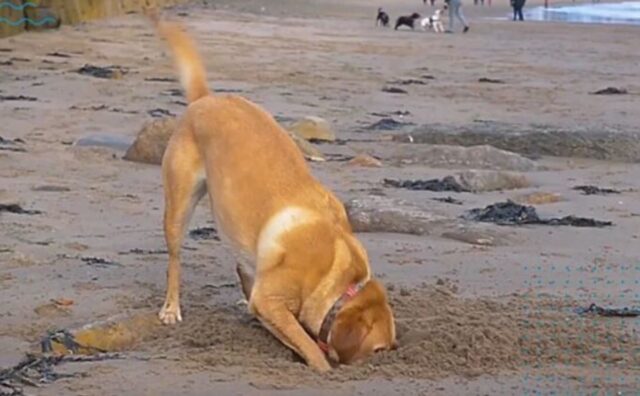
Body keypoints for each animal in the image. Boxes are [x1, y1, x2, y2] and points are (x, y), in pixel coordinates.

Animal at [151, 17, 398, 372]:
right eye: (378, 350)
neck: (337, 276)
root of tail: (205, 99)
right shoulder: (271, 301)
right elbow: (309, 348)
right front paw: (321, 367)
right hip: (178, 206)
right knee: (174, 260)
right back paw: (172, 307)